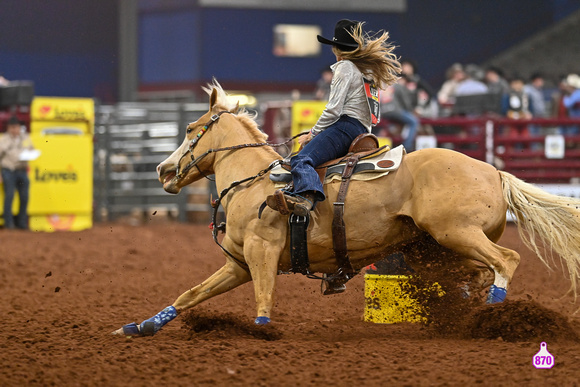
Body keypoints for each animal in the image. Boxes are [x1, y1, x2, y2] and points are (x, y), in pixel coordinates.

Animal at [113, 81, 580, 336]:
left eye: (191, 128)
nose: (163, 169)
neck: (256, 182)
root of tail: (495, 171)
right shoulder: (239, 263)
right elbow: (191, 293)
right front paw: (140, 326)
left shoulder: (262, 255)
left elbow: (264, 299)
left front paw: (262, 334)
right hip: (439, 248)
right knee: (481, 272)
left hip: (458, 233)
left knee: (507, 259)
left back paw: (496, 310)